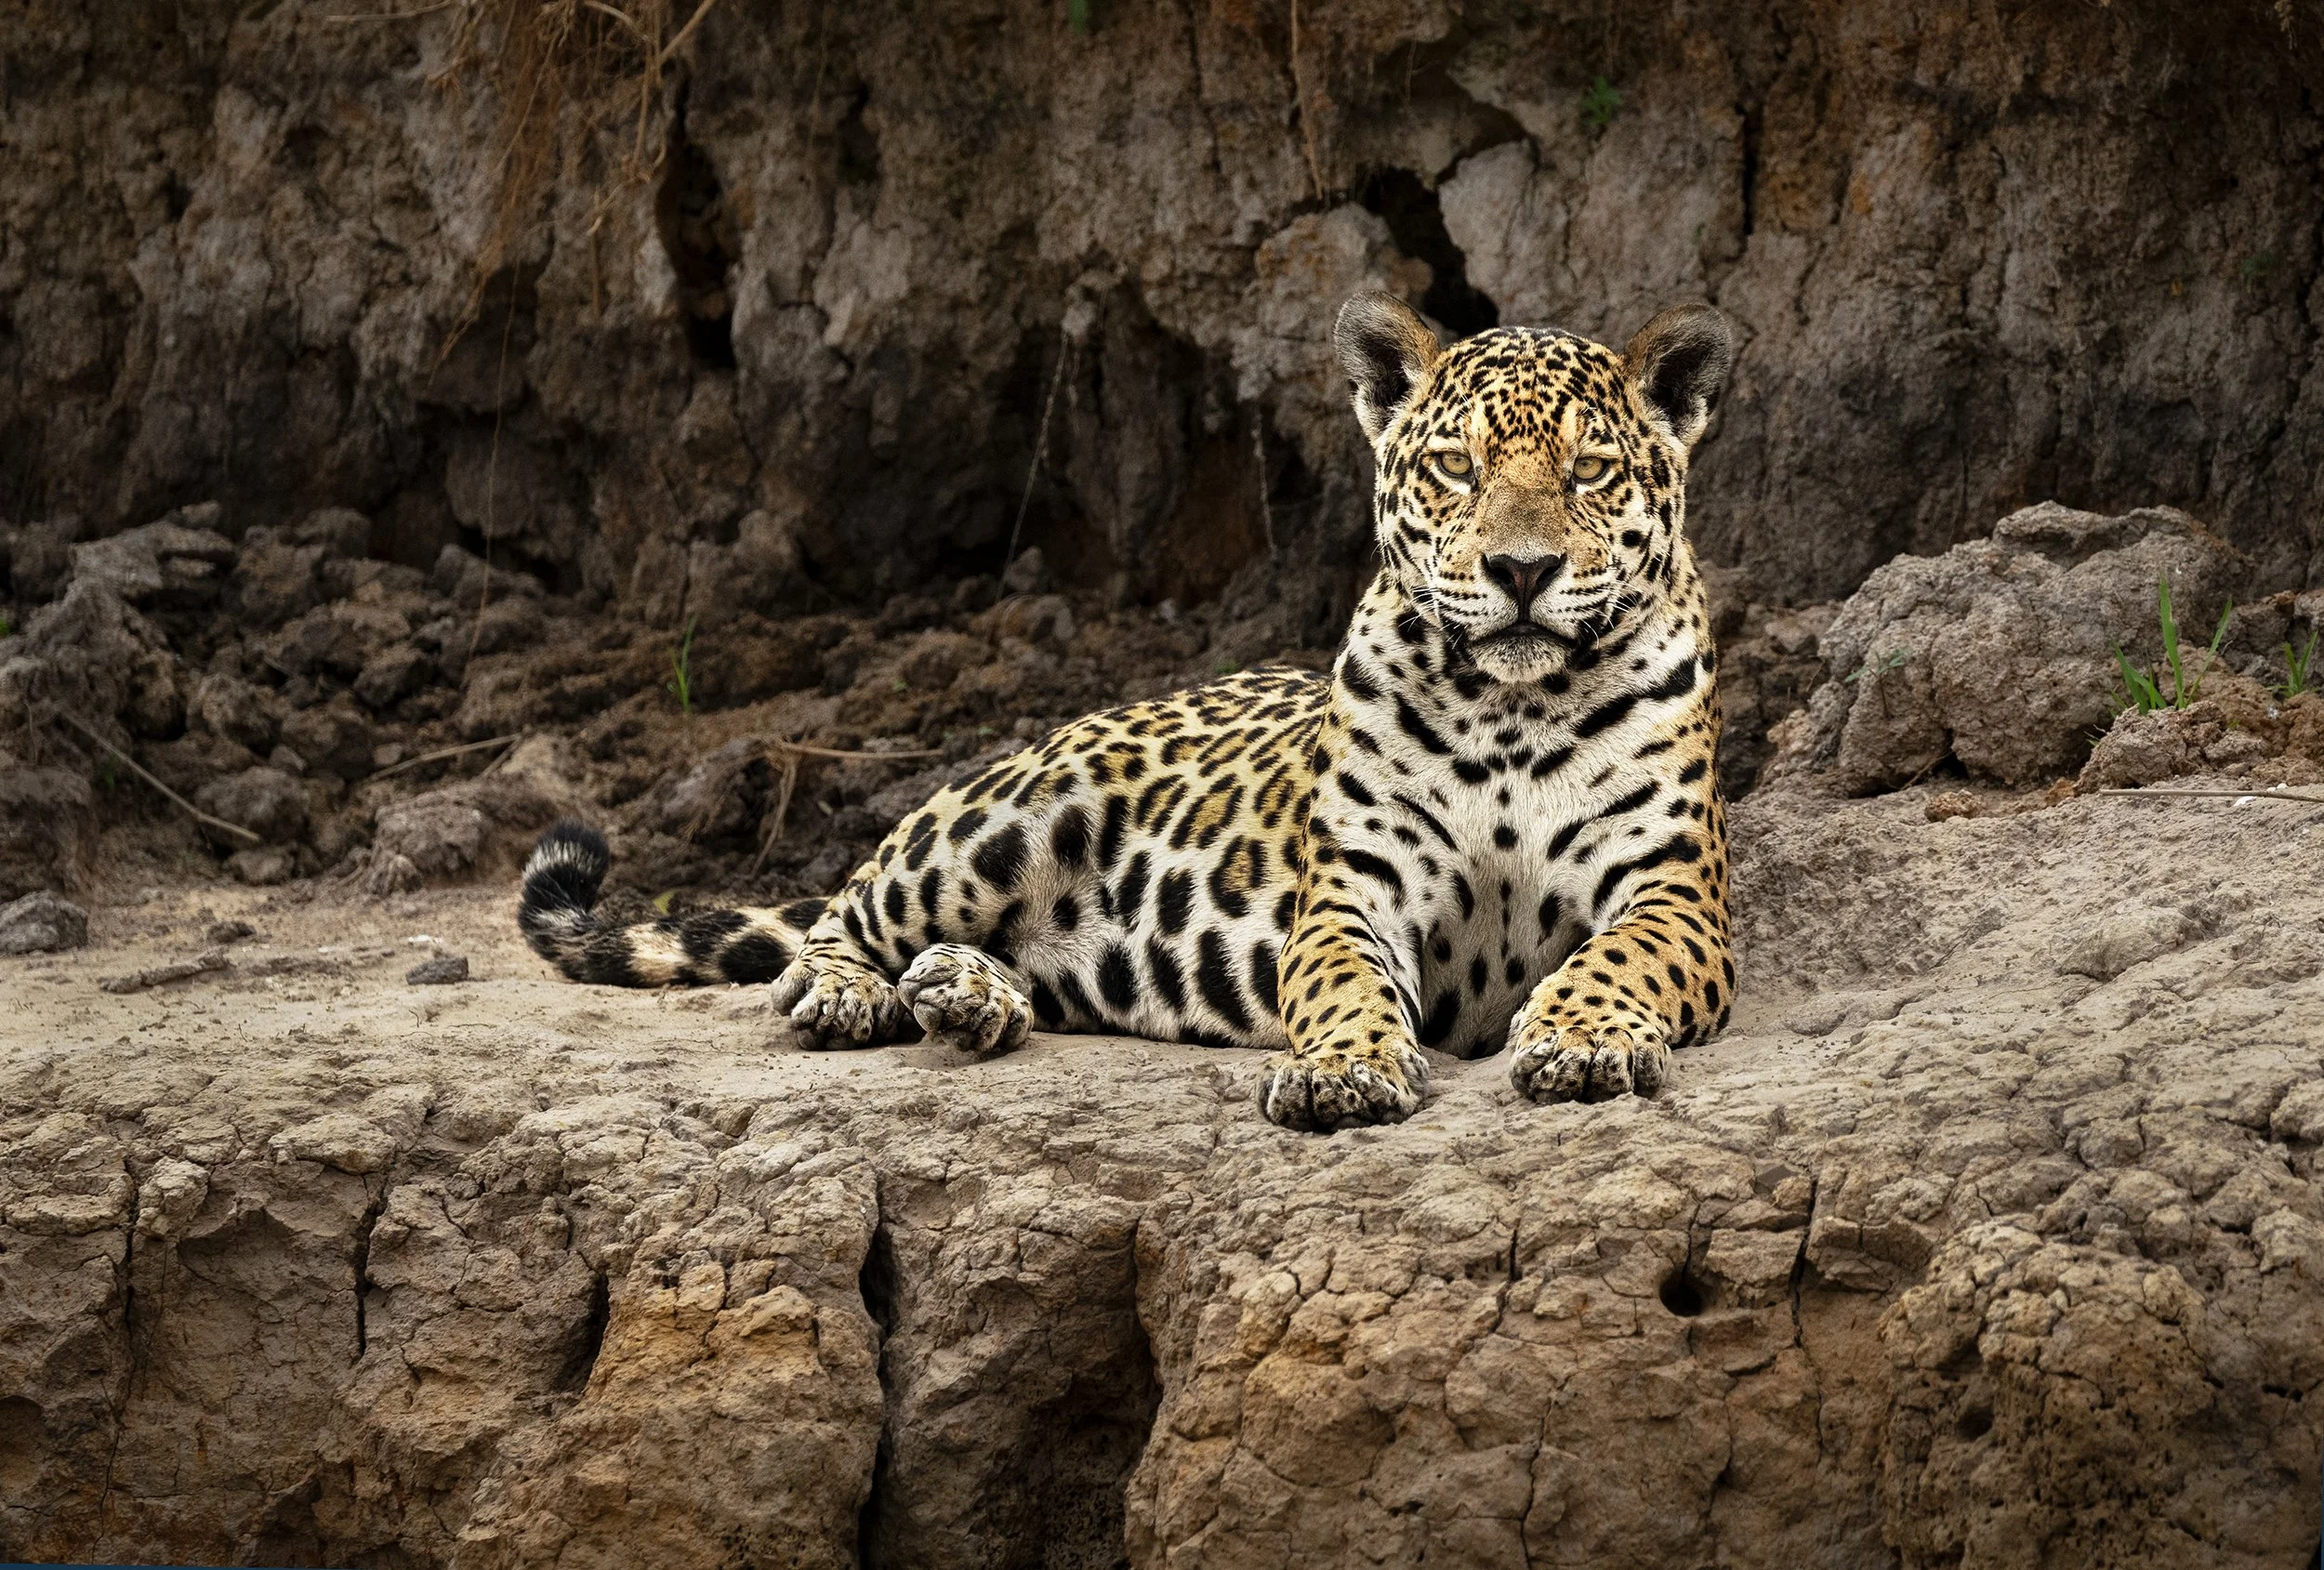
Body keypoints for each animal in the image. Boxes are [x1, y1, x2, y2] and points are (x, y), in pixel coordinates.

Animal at [518, 291, 1737, 1131]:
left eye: (1589, 472)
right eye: (1454, 467)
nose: (1521, 570)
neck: (1507, 707)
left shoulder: (1675, 894)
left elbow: (1615, 961)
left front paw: (1581, 1041)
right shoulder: (1351, 894)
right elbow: (1339, 983)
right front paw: (1341, 1069)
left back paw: (968, 996)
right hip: (993, 824)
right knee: (839, 918)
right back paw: (856, 993)